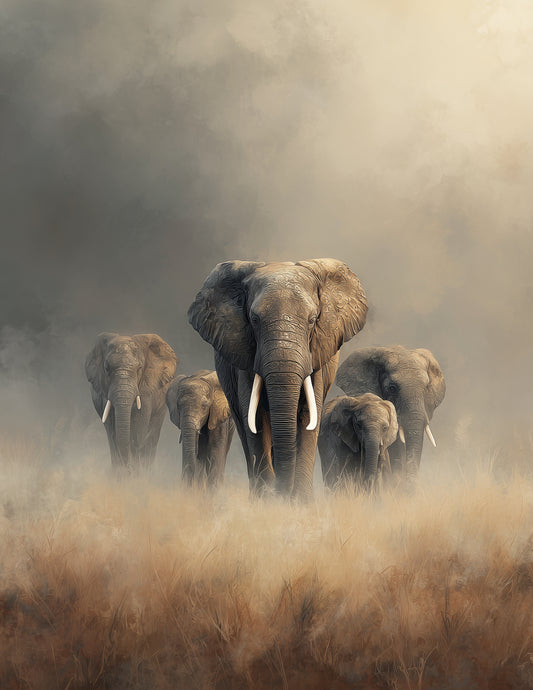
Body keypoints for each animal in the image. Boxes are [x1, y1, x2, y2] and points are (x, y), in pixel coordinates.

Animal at [188, 259, 367, 500]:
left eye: (312, 320)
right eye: (254, 320)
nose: (283, 491)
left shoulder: (317, 354)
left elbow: (308, 415)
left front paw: (299, 501)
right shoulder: (246, 355)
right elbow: (255, 419)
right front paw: (269, 500)